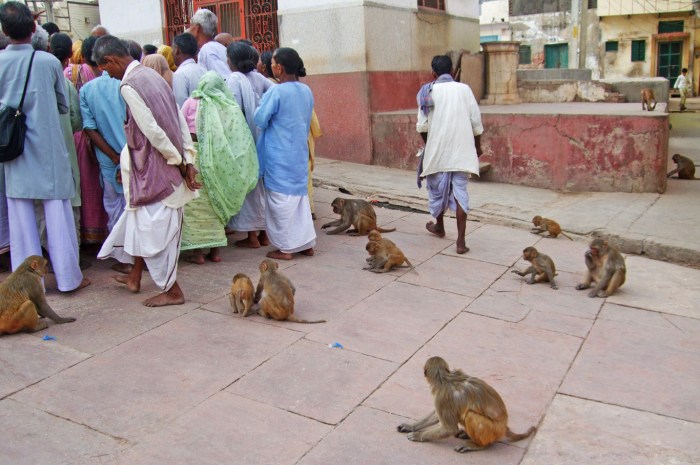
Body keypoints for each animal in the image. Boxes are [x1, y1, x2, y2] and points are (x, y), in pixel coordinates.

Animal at [396, 358, 540, 452]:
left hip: (494, 429)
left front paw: (418, 436)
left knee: (470, 415)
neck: (445, 377)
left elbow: (449, 429)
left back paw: (480, 445)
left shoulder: (441, 396)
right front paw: (411, 426)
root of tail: (504, 425)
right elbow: (437, 416)